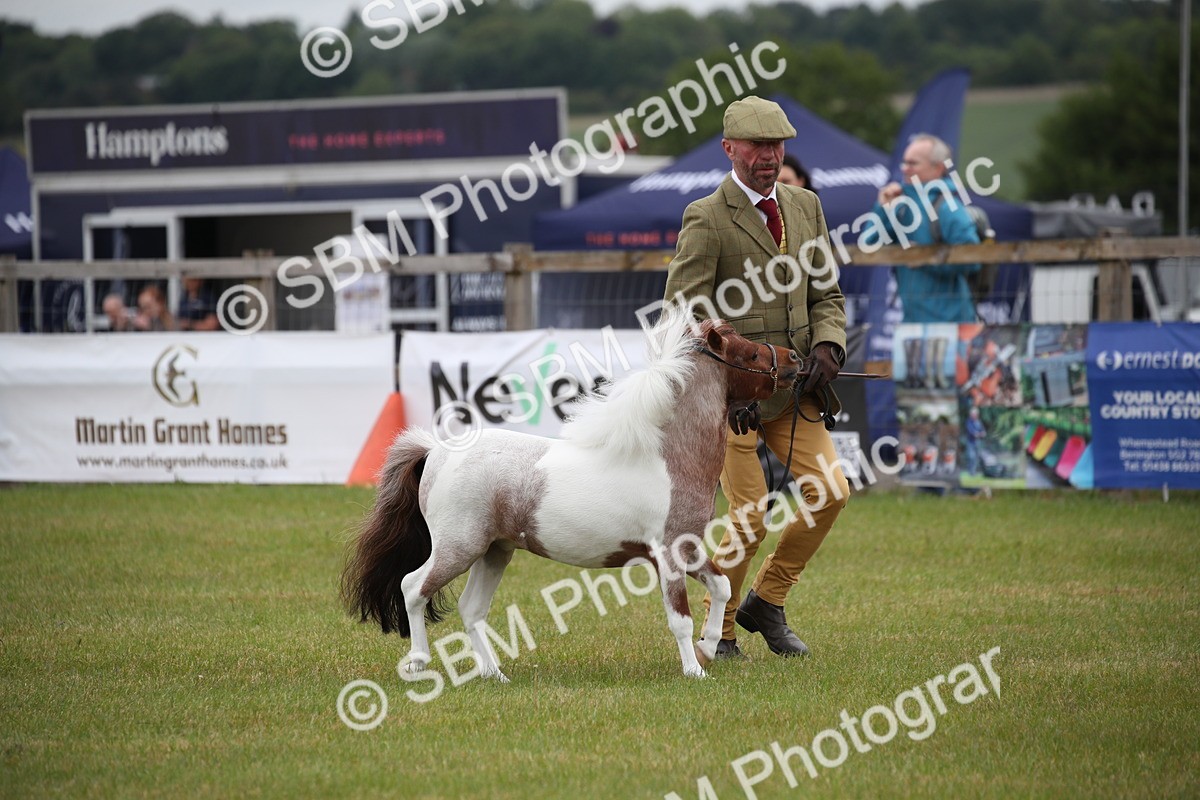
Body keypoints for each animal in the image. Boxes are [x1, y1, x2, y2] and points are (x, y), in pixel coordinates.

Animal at [341, 304, 801, 679]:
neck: (668, 455)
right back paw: (418, 664)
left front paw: (707, 649)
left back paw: (495, 676)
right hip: (459, 547)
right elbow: (679, 619)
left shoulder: (686, 547)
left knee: (471, 609)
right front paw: (694, 670)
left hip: (495, 551)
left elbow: (721, 586)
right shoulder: (669, 554)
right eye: (751, 354)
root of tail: (435, 450)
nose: (795, 359)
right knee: (413, 587)